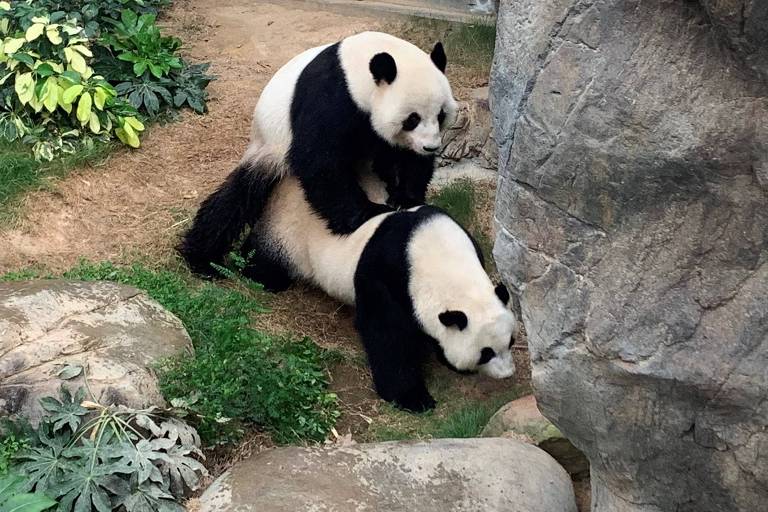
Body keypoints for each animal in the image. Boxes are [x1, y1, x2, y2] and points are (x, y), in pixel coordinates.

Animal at [179, 31, 456, 280]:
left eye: (441, 115)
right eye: (412, 119)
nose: (430, 147)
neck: (358, 71)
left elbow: (406, 159)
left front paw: (405, 197)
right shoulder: (331, 97)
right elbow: (319, 161)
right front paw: (367, 212)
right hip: (268, 147)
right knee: (235, 200)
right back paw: (203, 260)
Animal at [250, 176, 516, 412]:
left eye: (511, 341)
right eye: (486, 353)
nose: (507, 374)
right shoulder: (386, 275)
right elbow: (386, 335)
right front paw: (413, 398)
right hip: (288, 233)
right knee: (267, 257)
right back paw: (263, 277)